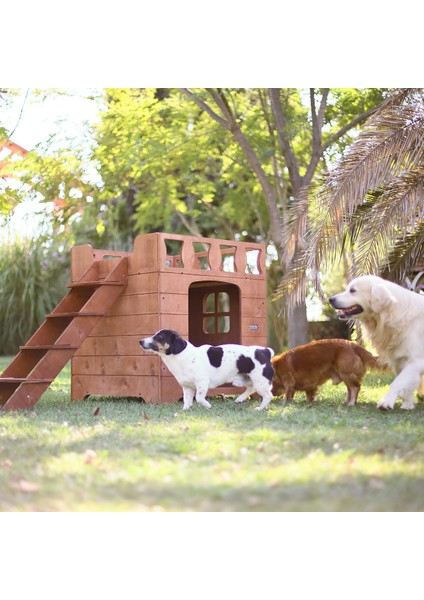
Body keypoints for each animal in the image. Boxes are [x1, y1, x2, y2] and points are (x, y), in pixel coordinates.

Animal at [139, 330, 274, 410]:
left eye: (160, 336)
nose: (140, 341)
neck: (183, 356)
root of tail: (265, 351)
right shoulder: (187, 387)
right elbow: (186, 401)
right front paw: (185, 410)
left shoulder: (202, 383)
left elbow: (199, 398)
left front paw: (208, 405)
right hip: (246, 380)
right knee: (251, 389)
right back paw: (240, 399)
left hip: (260, 381)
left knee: (268, 396)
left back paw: (259, 408)